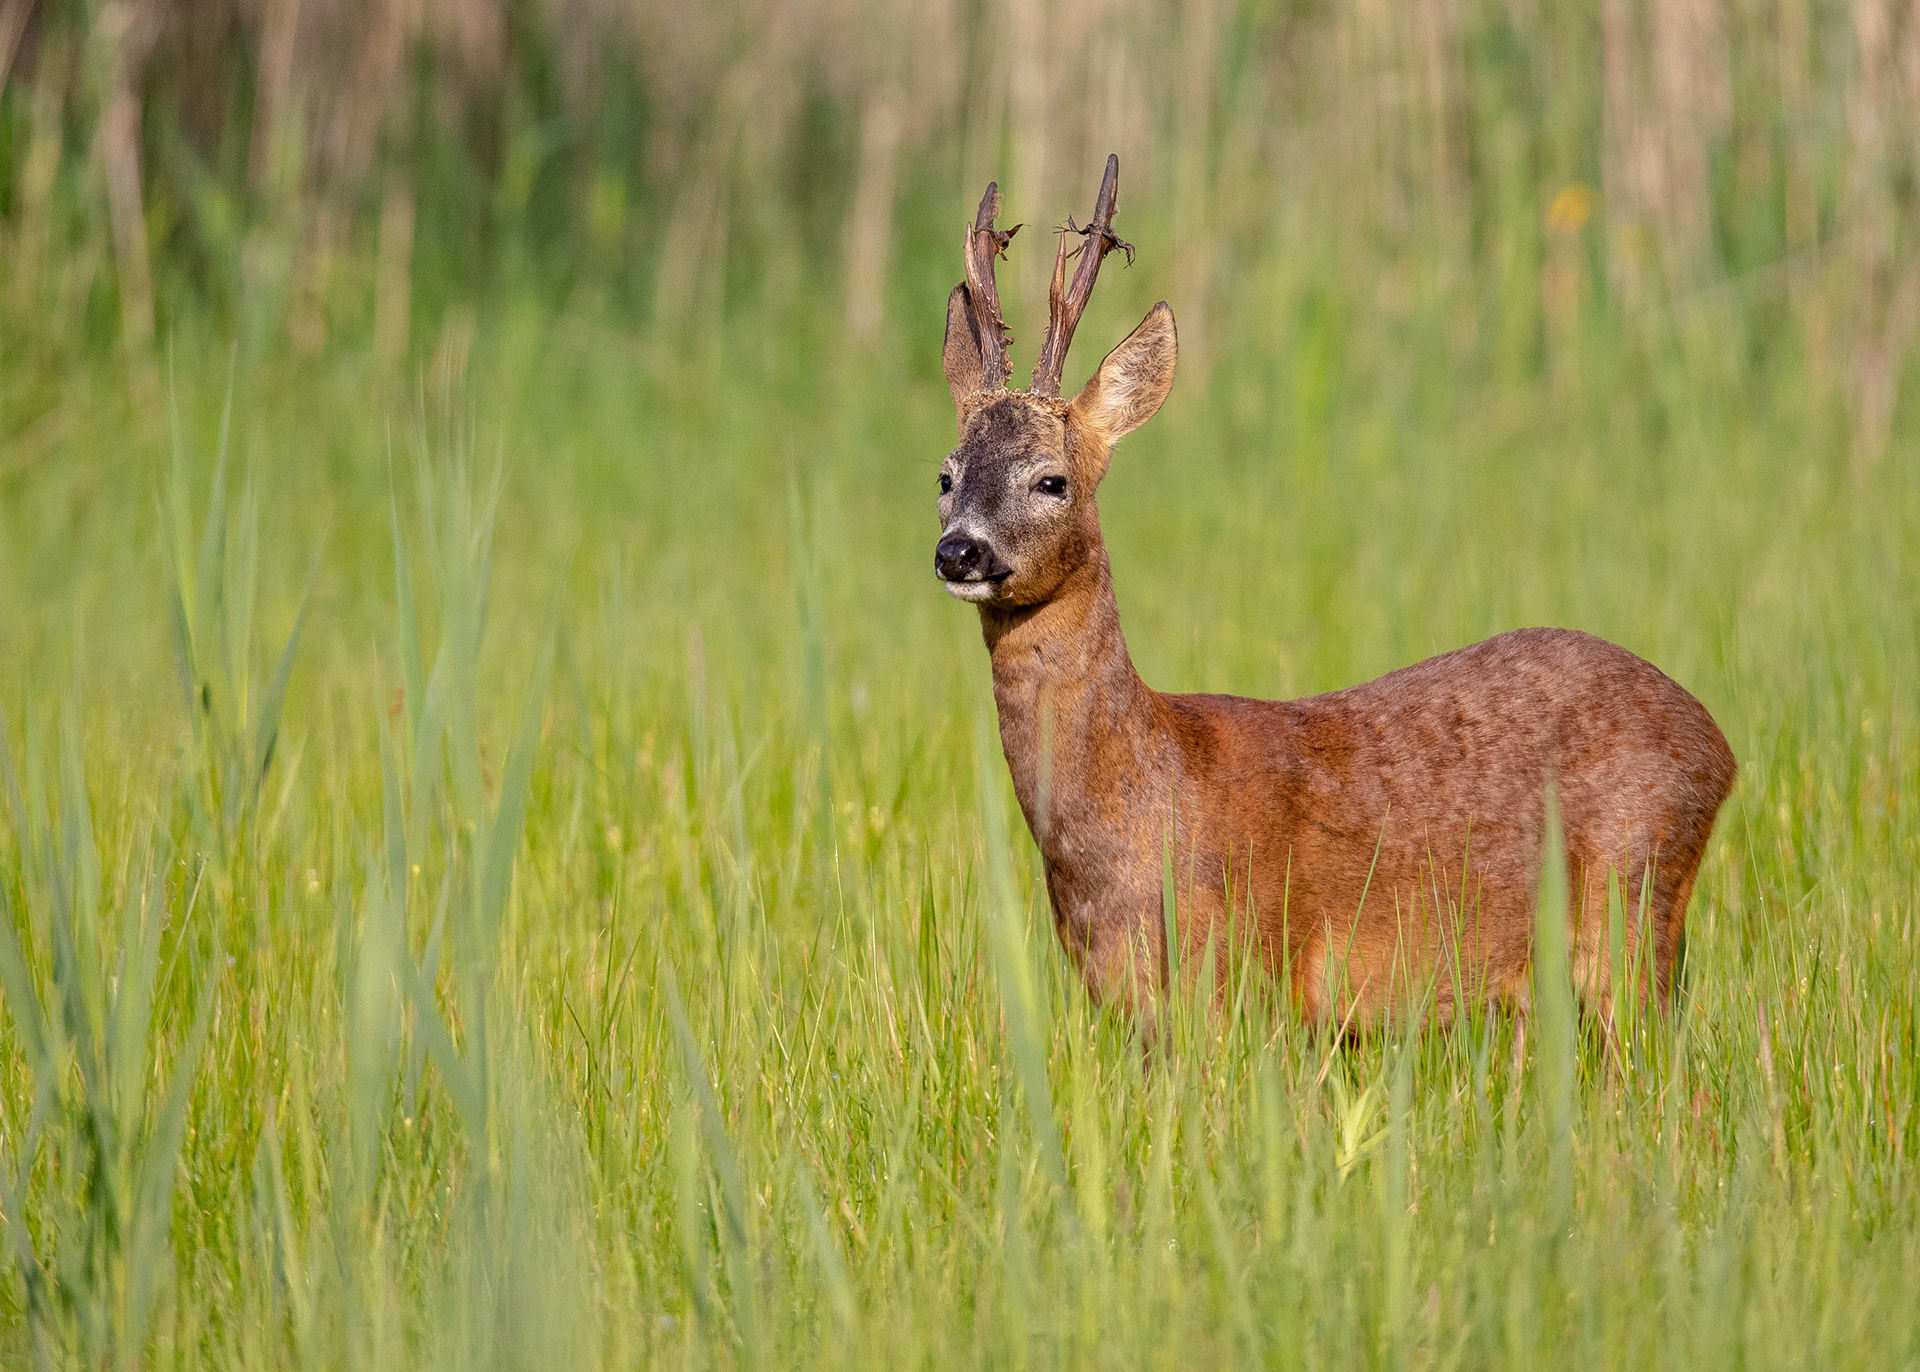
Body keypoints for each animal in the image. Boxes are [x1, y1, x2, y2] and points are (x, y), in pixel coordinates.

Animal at [934, 155, 1736, 1034]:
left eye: (1052, 480)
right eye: (944, 475)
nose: (960, 550)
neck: (1149, 798)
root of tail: (1717, 744)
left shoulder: (1241, 982)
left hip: (1633, 899)